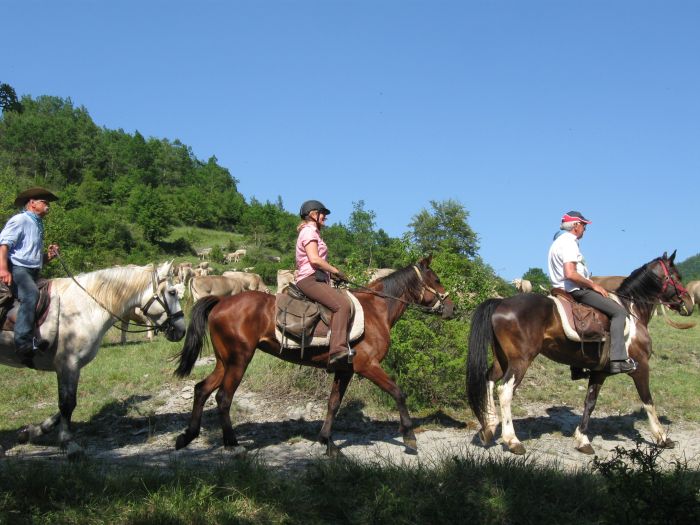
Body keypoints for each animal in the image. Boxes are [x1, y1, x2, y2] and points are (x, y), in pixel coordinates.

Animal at [172, 256, 452, 454]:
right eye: (437, 279)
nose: (452, 308)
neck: (376, 311)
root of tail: (220, 302)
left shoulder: (345, 369)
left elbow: (333, 404)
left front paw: (327, 442)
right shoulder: (367, 366)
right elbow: (398, 393)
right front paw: (410, 437)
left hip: (225, 361)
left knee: (202, 389)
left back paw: (187, 436)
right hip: (239, 360)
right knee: (223, 397)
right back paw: (231, 443)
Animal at [468, 252, 692, 452]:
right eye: (677, 277)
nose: (689, 303)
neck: (632, 311)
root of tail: (501, 302)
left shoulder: (600, 371)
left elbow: (590, 402)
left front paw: (582, 439)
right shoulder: (641, 367)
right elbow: (648, 402)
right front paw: (662, 438)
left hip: (503, 359)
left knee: (489, 380)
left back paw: (489, 427)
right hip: (520, 361)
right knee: (504, 391)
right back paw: (512, 441)